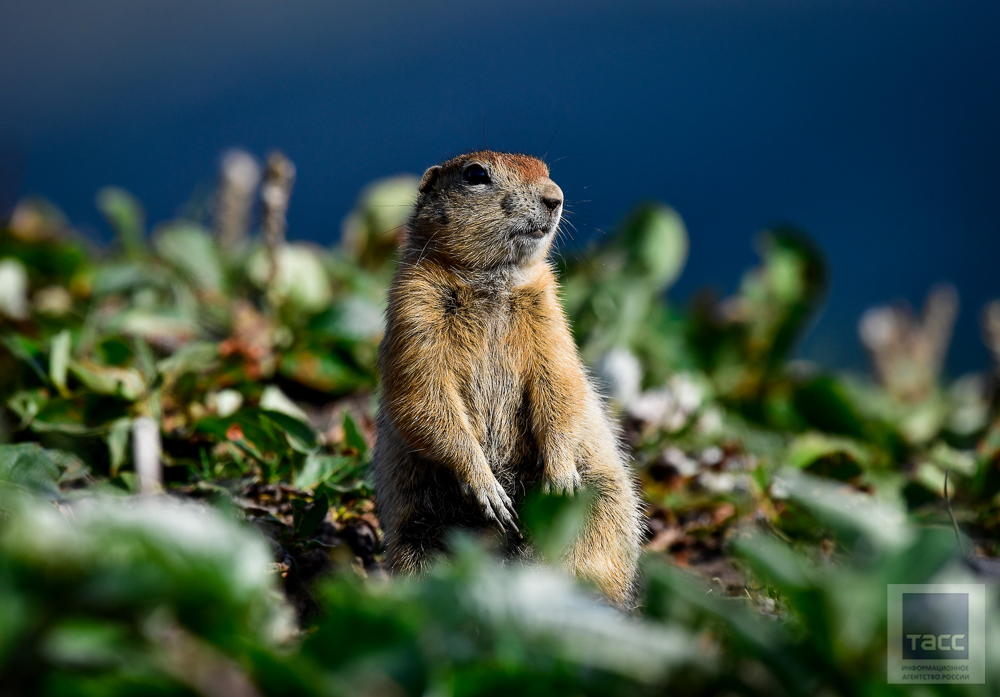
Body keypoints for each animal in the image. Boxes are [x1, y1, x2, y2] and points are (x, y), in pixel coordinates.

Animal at [374, 151, 640, 604]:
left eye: (546, 170)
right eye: (475, 174)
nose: (555, 197)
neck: (492, 283)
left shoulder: (550, 314)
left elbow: (560, 381)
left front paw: (559, 479)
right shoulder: (414, 309)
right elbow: (422, 393)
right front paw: (488, 488)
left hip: (604, 510)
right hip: (416, 533)